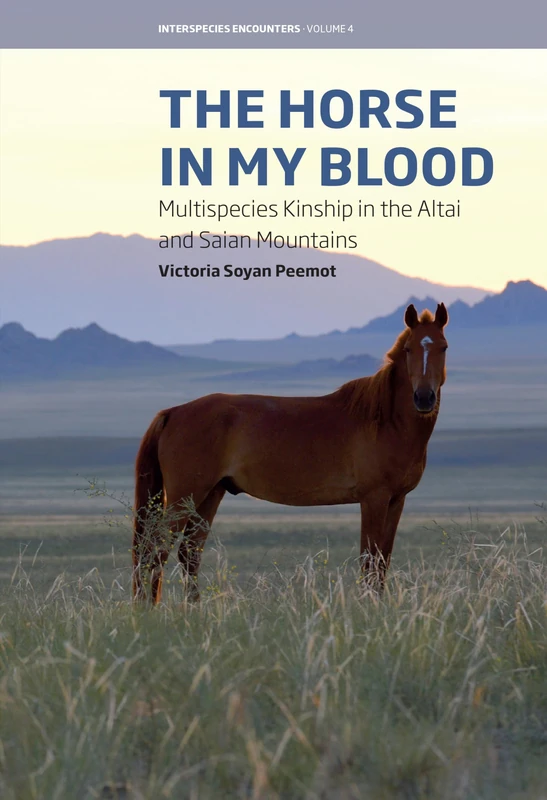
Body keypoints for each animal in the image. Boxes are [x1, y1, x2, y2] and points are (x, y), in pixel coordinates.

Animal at [132, 302, 448, 604]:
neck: (385, 421)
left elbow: (383, 561)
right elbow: (369, 560)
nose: (423, 398)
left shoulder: (396, 500)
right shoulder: (374, 499)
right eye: (408, 349)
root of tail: (173, 413)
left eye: (443, 347)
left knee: (188, 553)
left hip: (210, 494)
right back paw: (151, 609)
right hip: (184, 496)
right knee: (156, 550)